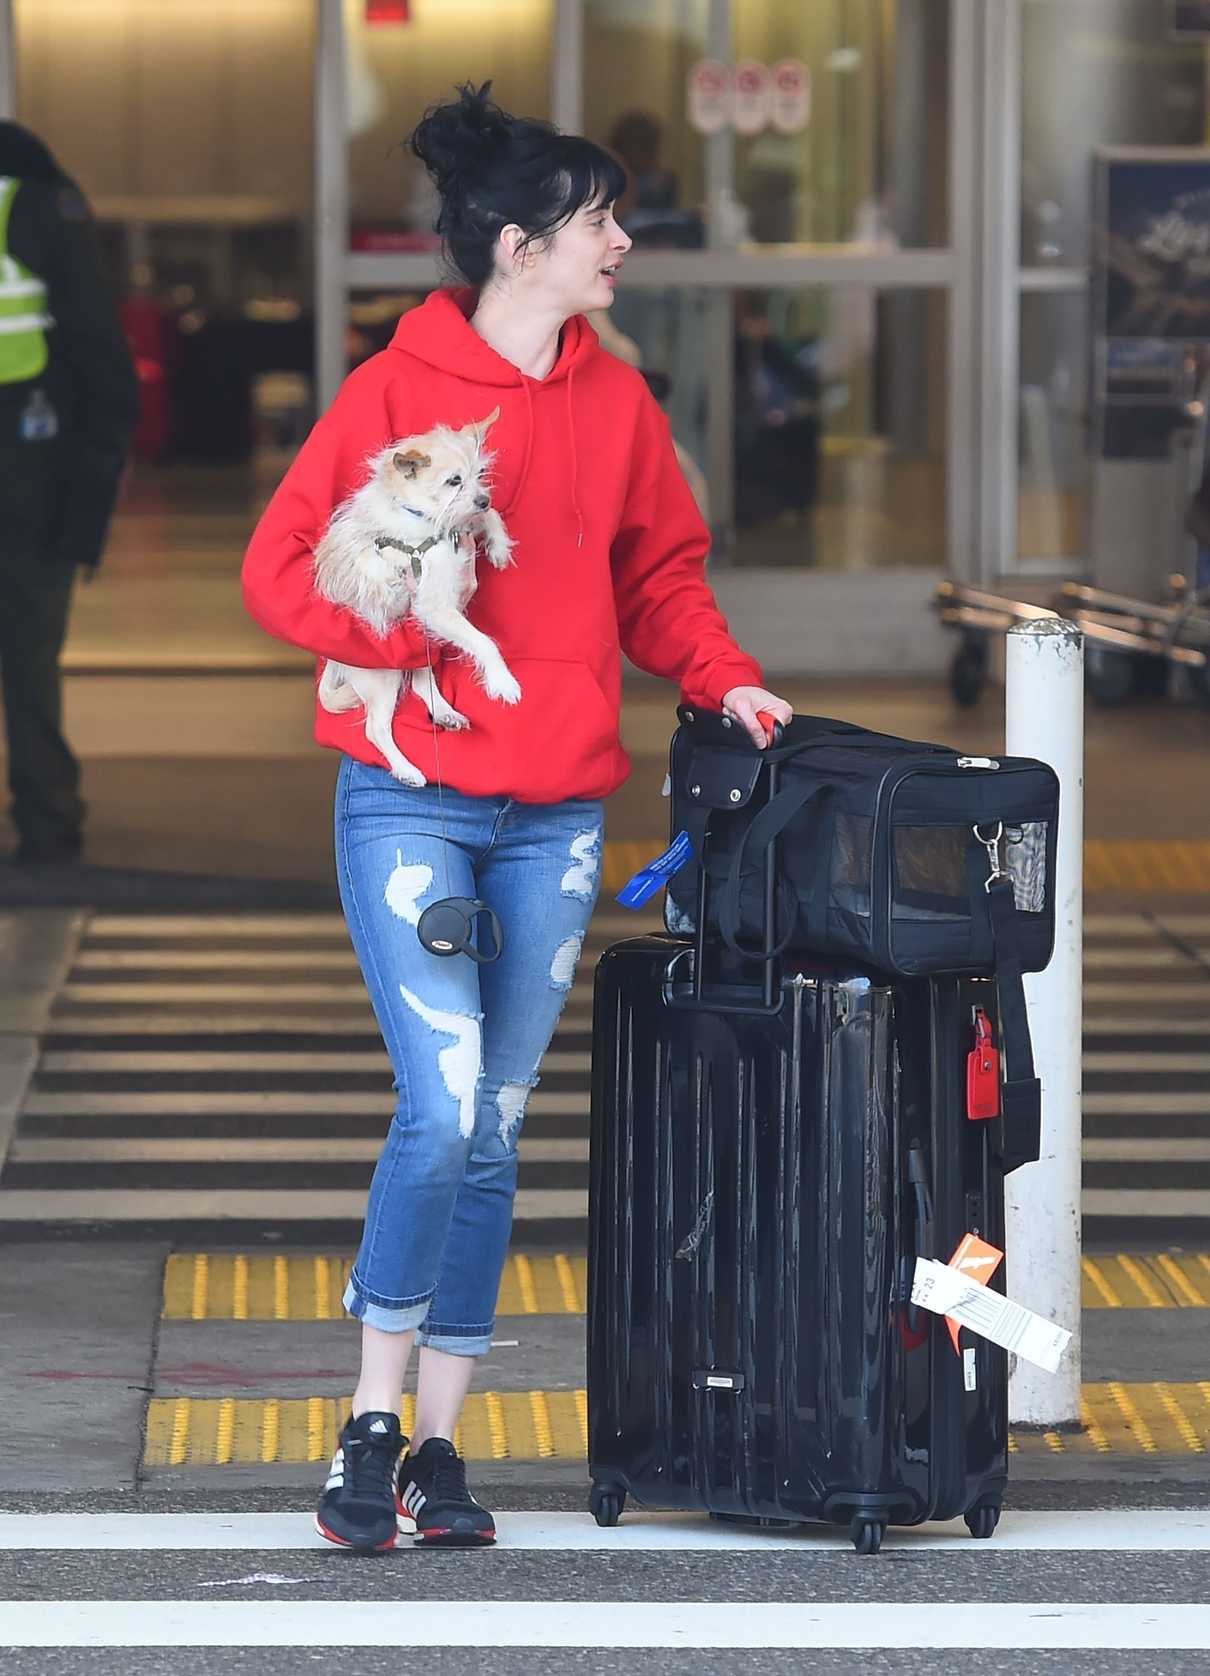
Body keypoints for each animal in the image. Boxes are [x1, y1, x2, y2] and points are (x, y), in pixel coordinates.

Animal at [311, 408, 519, 781]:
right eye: (453, 481)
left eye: (480, 474)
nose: (484, 498)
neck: (425, 519)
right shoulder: (435, 608)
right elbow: (484, 642)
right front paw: (503, 681)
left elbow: (485, 518)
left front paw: (498, 546)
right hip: (383, 672)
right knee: (376, 728)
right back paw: (406, 769)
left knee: (422, 683)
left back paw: (446, 713)